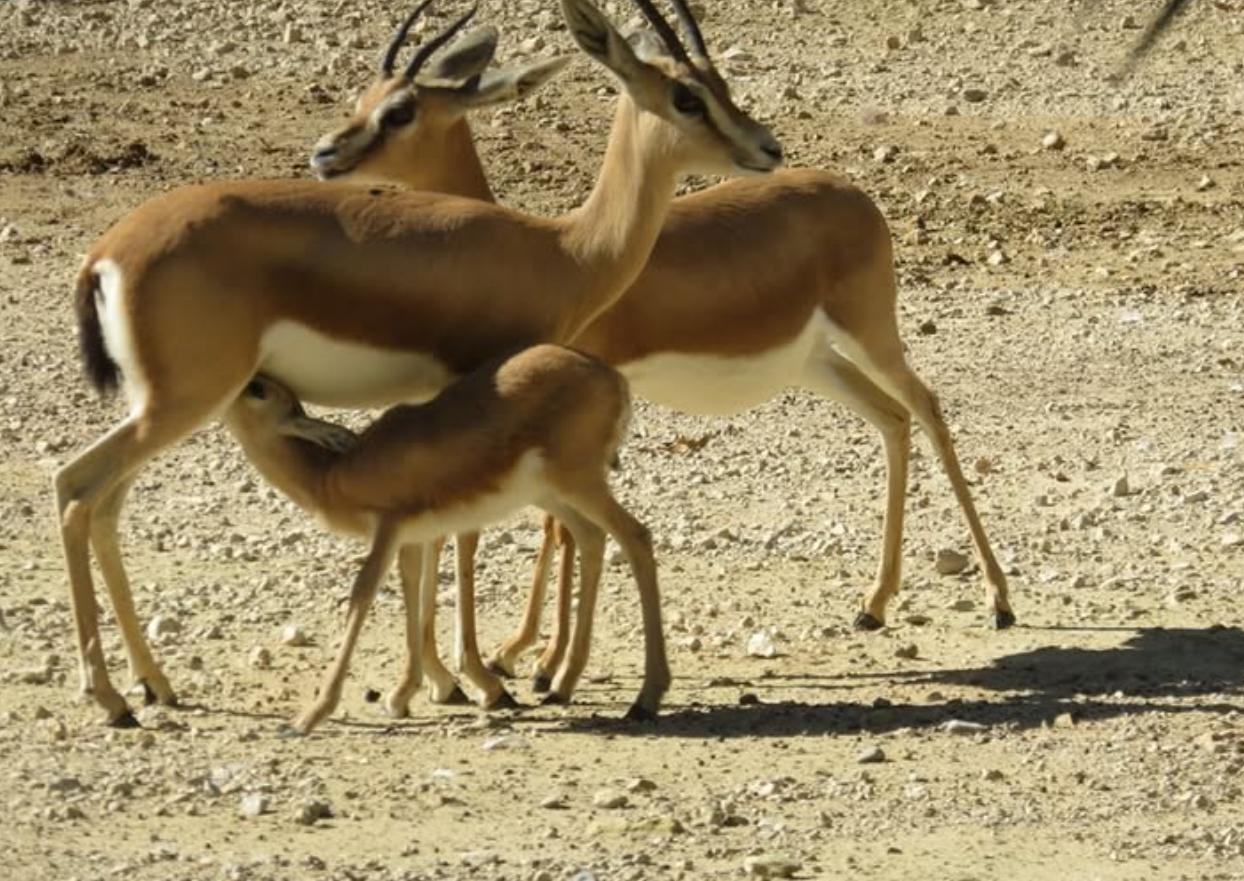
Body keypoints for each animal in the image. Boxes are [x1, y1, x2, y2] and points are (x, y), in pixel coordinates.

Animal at [223, 348, 656, 731]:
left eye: (258, 389)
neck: (334, 476)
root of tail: (612, 378)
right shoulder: (412, 537)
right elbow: (413, 589)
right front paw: (405, 696)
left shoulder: (389, 528)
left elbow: (363, 593)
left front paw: (309, 718)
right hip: (553, 493)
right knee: (591, 536)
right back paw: (561, 684)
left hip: (577, 484)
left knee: (636, 535)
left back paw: (644, 699)